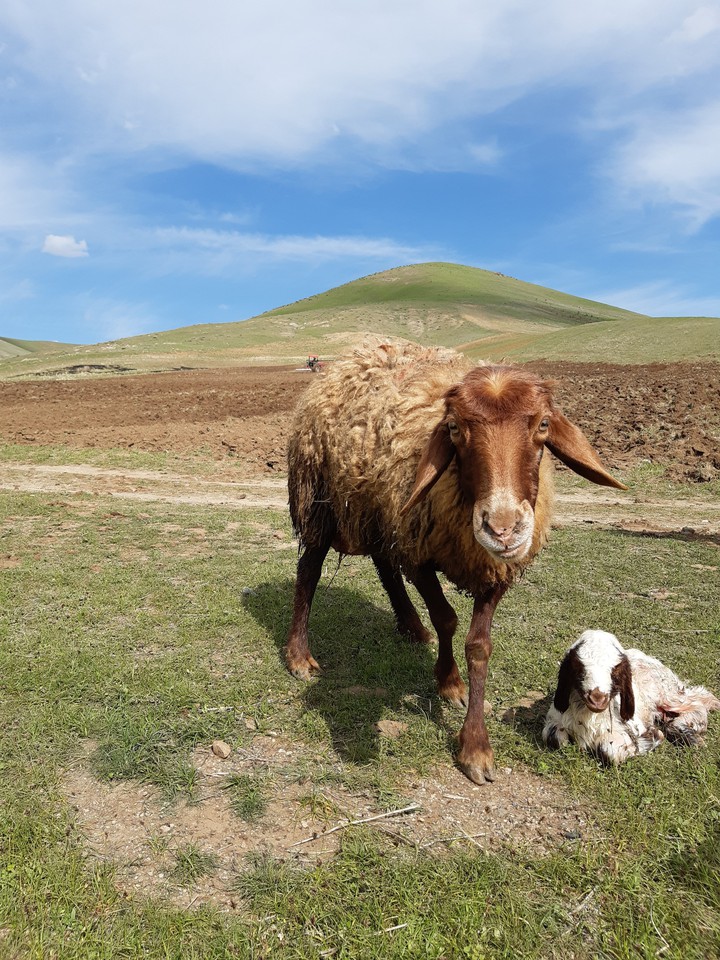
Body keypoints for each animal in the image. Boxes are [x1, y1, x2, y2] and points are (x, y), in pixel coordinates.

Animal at [286, 338, 626, 784]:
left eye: (543, 425)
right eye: (454, 429)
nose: (502, 529)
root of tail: (353, 354)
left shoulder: (496, 570)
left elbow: (479, 646)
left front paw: (474, 744)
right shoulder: (419, 554)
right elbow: (446, 618)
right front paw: (448, 683)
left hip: (381, 510)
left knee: (383, 563)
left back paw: (412, 627)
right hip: (320, 499)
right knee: (310, 570)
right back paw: (299, 655)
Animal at [543, 629, 720, 765]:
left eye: (615, 670)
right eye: (579, 668)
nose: (597, 698)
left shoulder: (630, 727)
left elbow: (609, 751)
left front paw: (653, 736)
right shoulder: (554, 720)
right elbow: (555, 739)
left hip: (668, 693)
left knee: (698, 703)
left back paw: (688, 734)